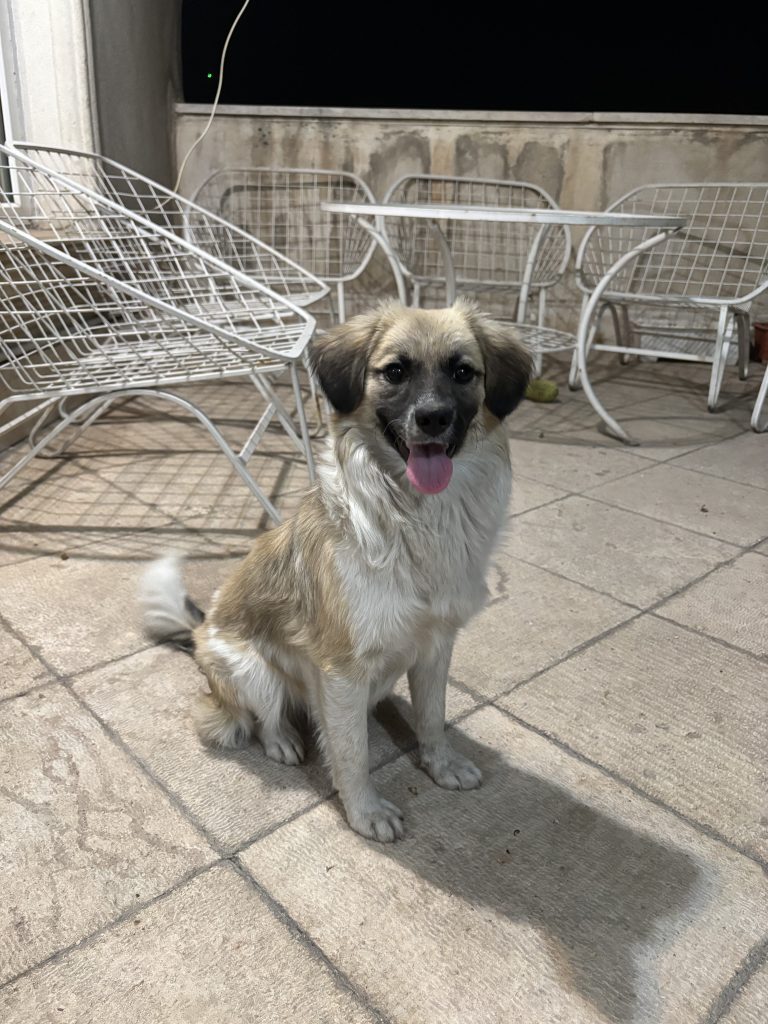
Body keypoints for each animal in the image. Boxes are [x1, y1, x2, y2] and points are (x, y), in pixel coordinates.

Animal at [140, 299, 532, 842]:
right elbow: (352, 753)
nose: (433, 418)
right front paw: (365, 812)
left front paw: (442, 765)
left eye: (462, 372)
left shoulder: (436, 645)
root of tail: (199, 634)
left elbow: (433, 719)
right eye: (395, 371)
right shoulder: (341, 670)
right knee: (261, 718)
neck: (416, 519)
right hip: (250, 668)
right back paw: (282, 741)